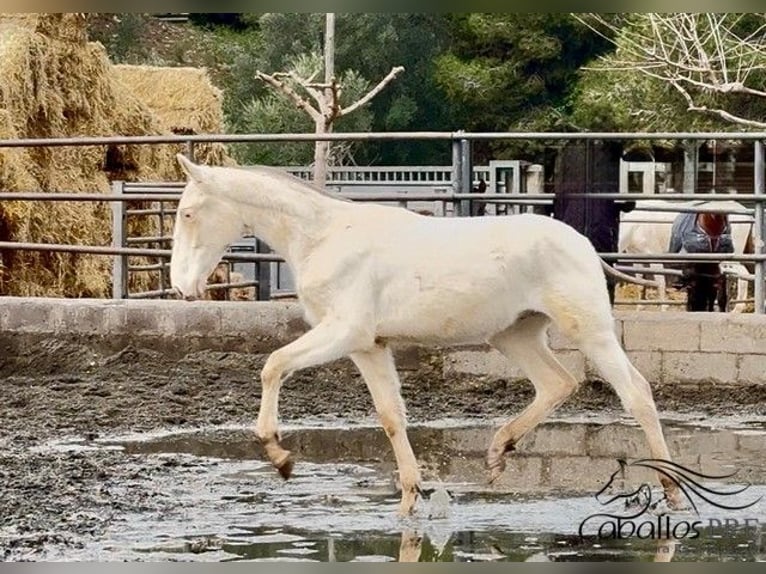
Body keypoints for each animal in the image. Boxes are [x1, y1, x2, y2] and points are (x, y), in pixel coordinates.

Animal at [169, 154, 682, 516]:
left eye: (189, 214)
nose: (182, 286)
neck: (322, 237)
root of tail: (585, 246)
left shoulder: (343, 332)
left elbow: (272, 365)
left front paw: (279, 456)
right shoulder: (367, 347)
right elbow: (391, 416)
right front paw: (411, 497)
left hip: (590, 332)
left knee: (636, 393)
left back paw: (673, 491)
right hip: (513, 335)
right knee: (557, 383)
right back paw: (498, 453)